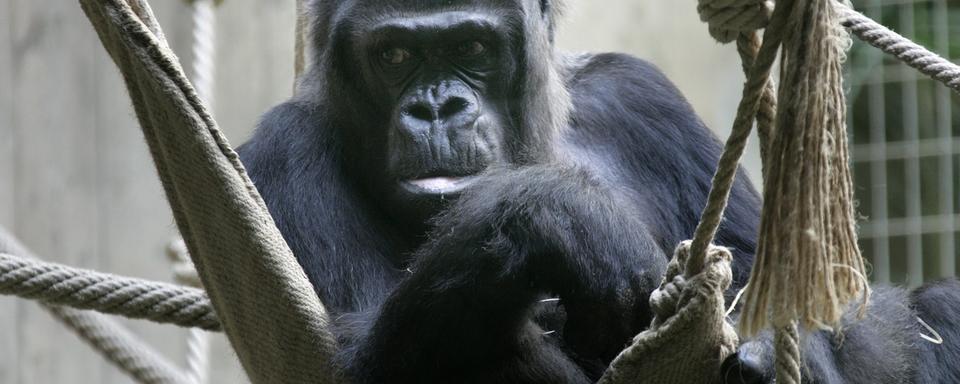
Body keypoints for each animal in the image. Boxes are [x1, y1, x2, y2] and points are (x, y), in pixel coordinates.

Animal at [238, 1, 960, 382]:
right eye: (393, 56)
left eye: (472, 46)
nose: (436, 108)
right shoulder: (283, 153)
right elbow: (351, 359)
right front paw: (562, 216)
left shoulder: (638, 96)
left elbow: (791, 281)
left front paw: (785, 346)